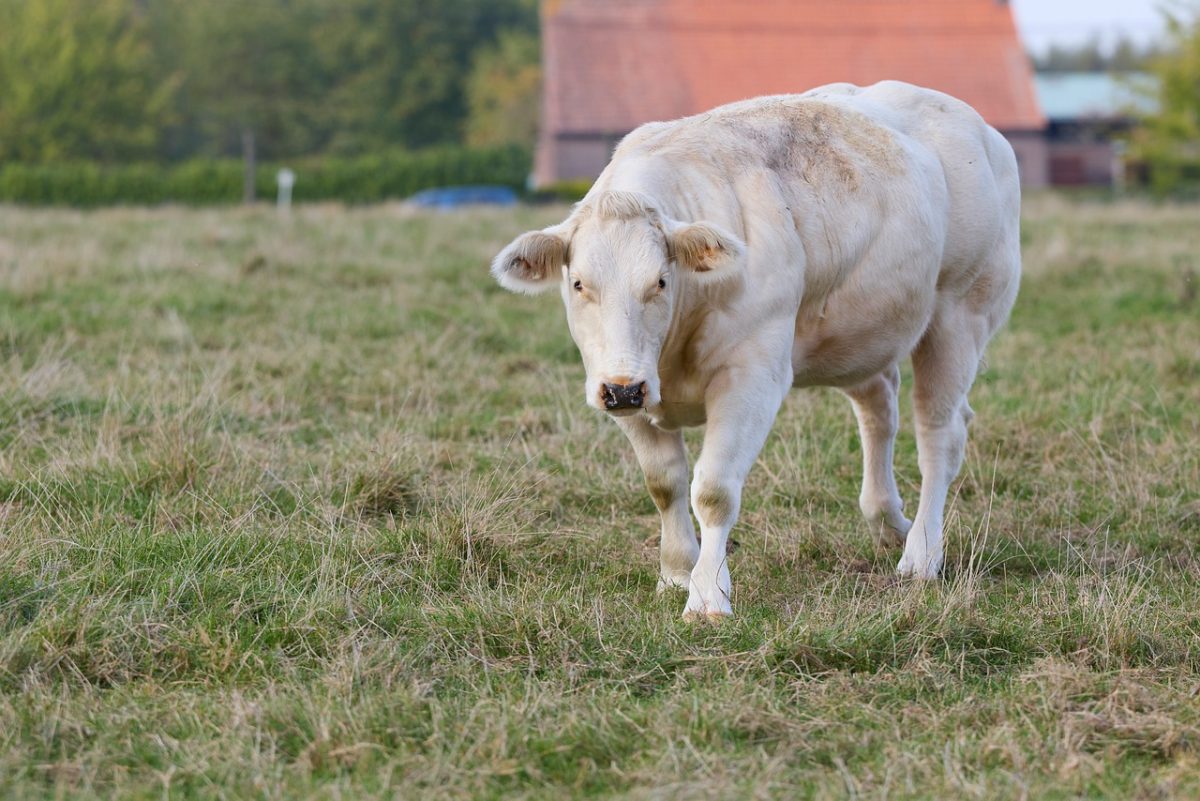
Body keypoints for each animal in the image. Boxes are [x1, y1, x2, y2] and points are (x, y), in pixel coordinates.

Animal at [490, 81, 1021, 620]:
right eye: (579, 283)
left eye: (660, 281)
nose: (624, 391)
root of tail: (978, 127)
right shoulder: (619, 382)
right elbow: (664, 483)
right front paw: (676, 572)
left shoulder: (752, 375)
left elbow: (714, 490)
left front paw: (707, 594)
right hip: (864, 329)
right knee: (879, 411)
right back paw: (888, 521)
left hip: (961, 314)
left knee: (940, 435)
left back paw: (922, 554)